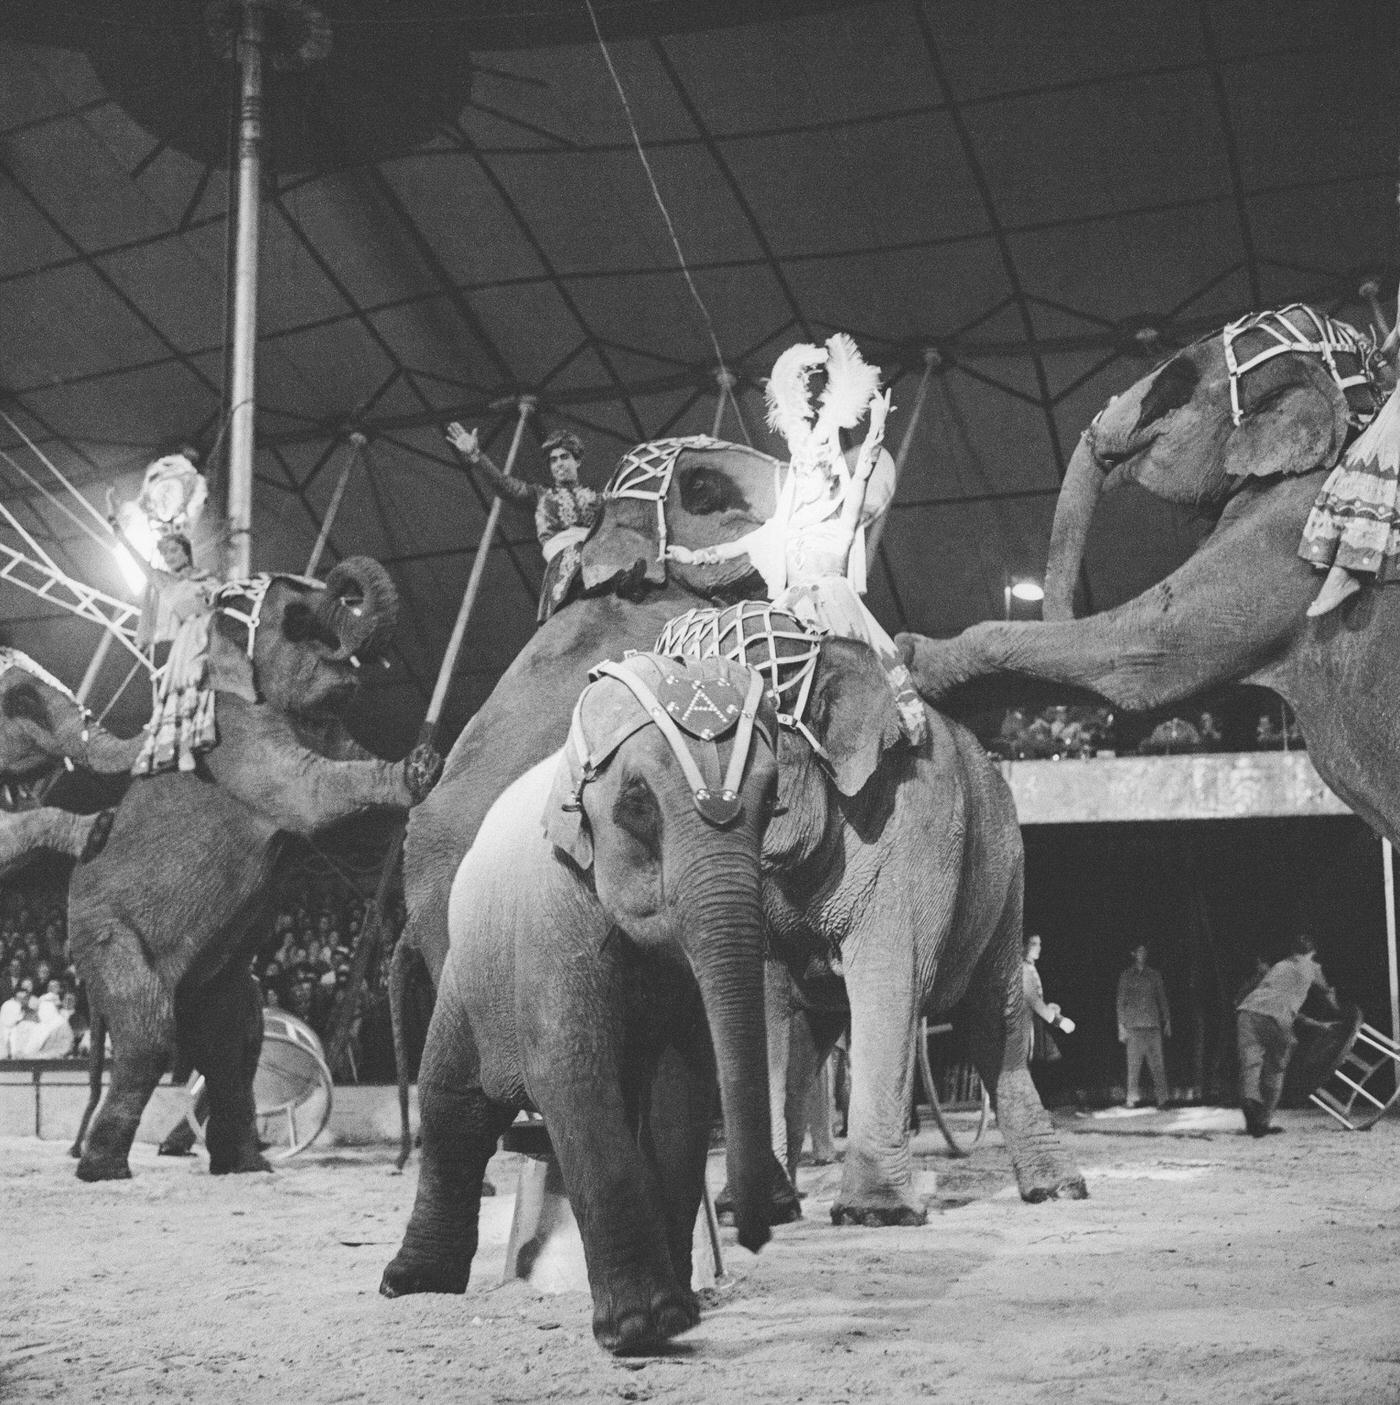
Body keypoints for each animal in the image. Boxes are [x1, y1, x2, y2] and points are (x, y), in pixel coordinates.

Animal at [64, 559, 438, 1185]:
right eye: (299, 620)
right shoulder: (237, 742)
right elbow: (312, 796)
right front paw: (420, 769)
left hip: (216, 978)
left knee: (235, 1046)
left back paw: (243, 1167)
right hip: (101, 931)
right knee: (150, 1036)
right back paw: (104, 1171)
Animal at [376, 651, 781, 1354]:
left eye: (773, 798)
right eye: (638, 802)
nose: (754, 1235)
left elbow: (682, 1087)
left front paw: (680, 1315)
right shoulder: (555, 912)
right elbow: (569, 1069)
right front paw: (643, 1328)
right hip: (467, 971)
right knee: (456, 1104)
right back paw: (409, 1284)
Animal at [393, 435, 1085, 1219]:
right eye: (705, 489)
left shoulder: (911, 815)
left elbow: (885, 973)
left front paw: (862, 1210)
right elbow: (773, 994)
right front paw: (762, 1205)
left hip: (1006, 864)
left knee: (991, 1014)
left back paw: (1054, 1187)